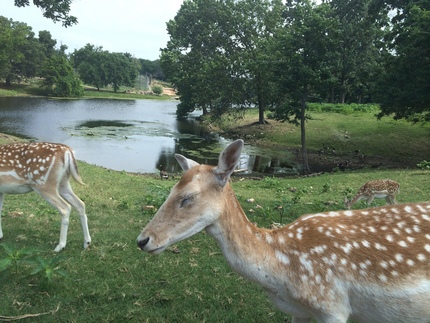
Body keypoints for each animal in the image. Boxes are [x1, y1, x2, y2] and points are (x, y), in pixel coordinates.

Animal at [137, 140, 430, 323]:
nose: (143, 240)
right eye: (171, 189)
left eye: (187, 197)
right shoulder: (298, 310)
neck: (281, 273)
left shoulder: (332, 306)